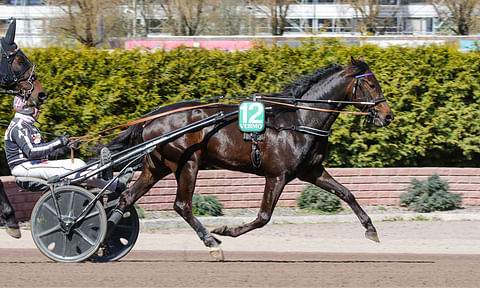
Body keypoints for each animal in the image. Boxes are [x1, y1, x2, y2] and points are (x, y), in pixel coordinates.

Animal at [108, 55, 394, 258]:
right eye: (371, 84)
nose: (388, 115)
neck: (301, 120)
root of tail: (152, 116)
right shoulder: (277, 175)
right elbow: (263, 217)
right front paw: (225, 230)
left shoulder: (311, 171)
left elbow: (346, 193)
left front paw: (371, 229)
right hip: (187, 163)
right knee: (182, 205)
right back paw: (211, 242)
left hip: (156, 166)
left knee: (127, 197)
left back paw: (105, 243)